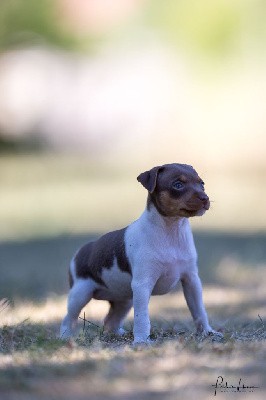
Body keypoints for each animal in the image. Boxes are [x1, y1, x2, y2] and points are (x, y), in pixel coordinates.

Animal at [60, 162, 220, 344]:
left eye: (202, 184)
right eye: (178, 185)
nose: (205, 198)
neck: (171, 232)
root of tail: (82, 250)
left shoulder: (191, 280)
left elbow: (199, 310)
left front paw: (207, 332)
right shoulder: (142, 285)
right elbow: (142, 316)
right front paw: (142, 341)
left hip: (124, 300)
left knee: (110, 322)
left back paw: (119, 334)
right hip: (80, 294)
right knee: (68, 318)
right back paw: (65, 337)